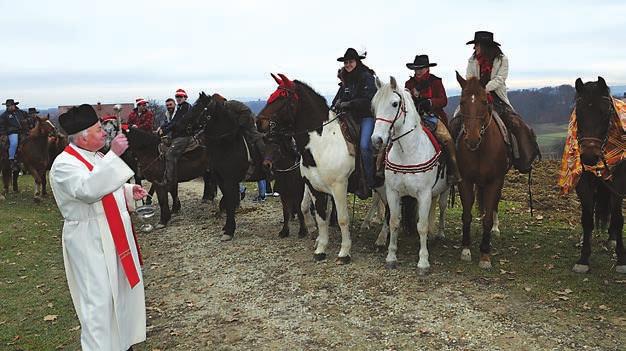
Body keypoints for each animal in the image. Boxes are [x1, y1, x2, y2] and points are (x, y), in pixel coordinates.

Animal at [370, 77, 448, 276]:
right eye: (374, 105)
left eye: (394, 103)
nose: (377, 140)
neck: (408, 152)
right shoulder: (393, 192)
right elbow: (393, 221)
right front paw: (391, 257)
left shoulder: (424, 194)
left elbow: (422, 226)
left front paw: (423, 262)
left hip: (445, 190)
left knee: (442, 208)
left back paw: (440, 233)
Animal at [450, 72, 510, 270]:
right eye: (462, 102)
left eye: (484, 102)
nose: (472, 139)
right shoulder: (466, 181)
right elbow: (466, 215)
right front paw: (465, 249)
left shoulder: (495, 181)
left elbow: (488, 218)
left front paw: (485, 254)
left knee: (495, 205)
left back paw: (495, 229)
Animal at [572, 77, 624, 276]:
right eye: (579, 111)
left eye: (605, 112)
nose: (588, 156)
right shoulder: (583, 183)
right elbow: (587, 219)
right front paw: (583, 259)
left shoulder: (618, 185)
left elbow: (618, 218)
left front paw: (621, 260)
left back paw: (612, 238)